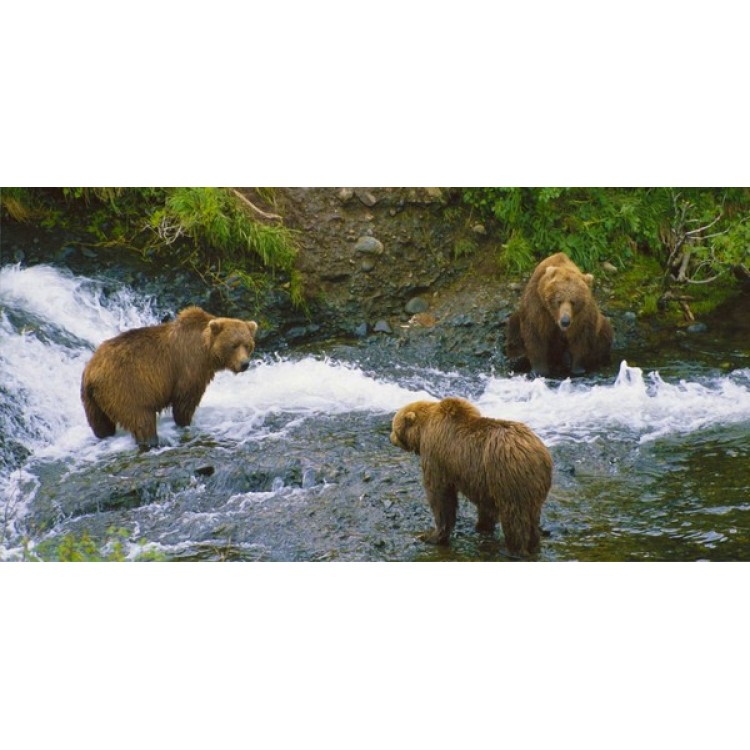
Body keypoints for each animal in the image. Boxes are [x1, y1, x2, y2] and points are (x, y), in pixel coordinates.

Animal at [81, 306, 258, 448]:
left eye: (247, 345)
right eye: (234, 345)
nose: (245, 364)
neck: (206, 351)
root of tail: (92, 371)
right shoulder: (189, 366)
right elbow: (185, 400)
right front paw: (185, 423)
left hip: (92, 401)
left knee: (101, 425)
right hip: (125, 387)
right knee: (141, 418)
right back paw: (151, 441)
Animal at [390, 397, 552, 558]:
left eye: (394, 427)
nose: (390, 437)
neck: (423, 430)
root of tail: (538, 454)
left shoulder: (436, 455)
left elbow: (440, 496)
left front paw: (431, 535)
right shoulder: (483, 479)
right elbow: (486, 505)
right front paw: (482, 526)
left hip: (508, 477)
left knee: (515, 518)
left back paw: (516, 550)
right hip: (531, 485)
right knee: (532, 517)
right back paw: (533, 544)